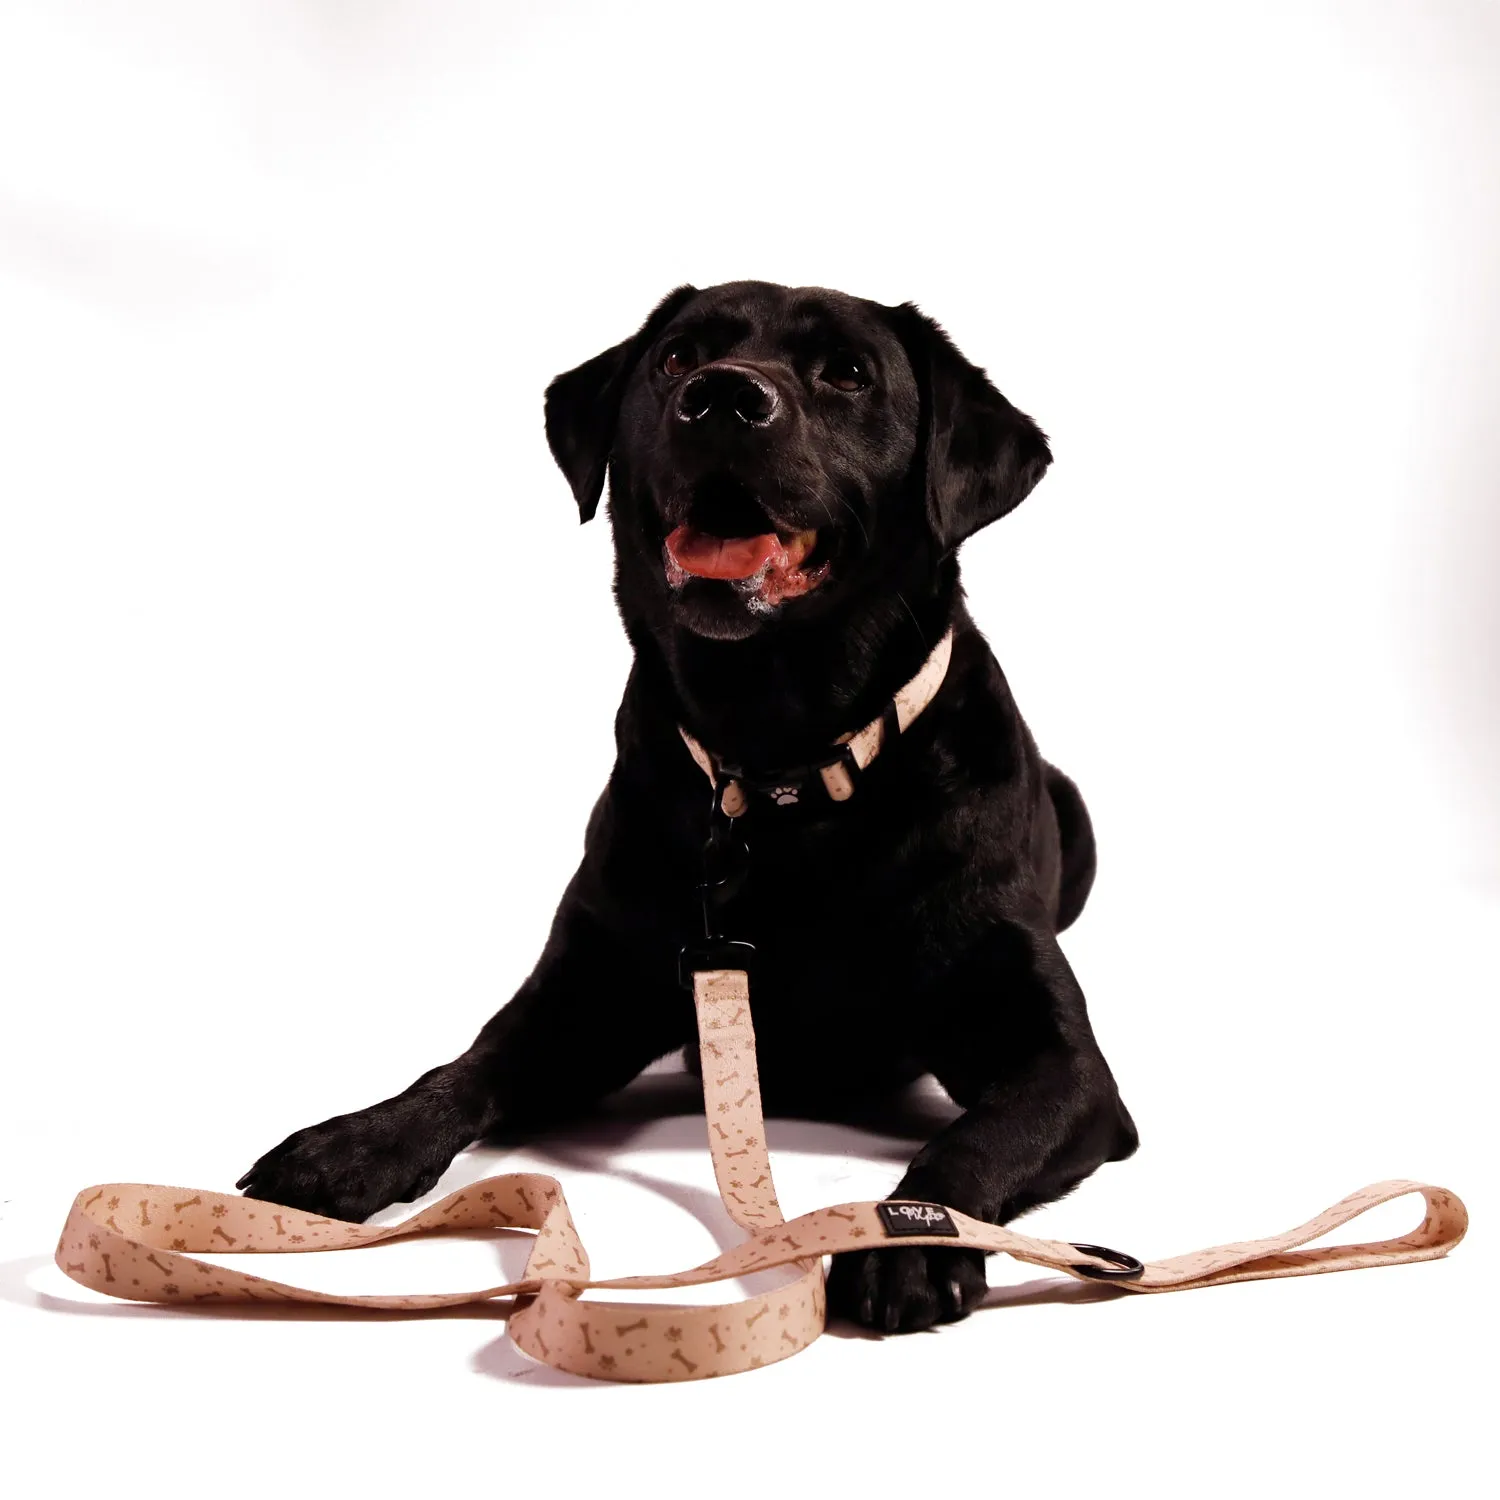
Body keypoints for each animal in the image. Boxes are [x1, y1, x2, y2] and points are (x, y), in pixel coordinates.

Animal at [240, 279, 1140, 1326]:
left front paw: (909, 1240)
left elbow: (974, 1137)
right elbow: (465, 1068)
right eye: (677, 357)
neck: (780, 765)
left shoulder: (1061, 1062)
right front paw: (354, 1143)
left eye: (847, 374)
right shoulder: (588, 989)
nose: (722, 397)